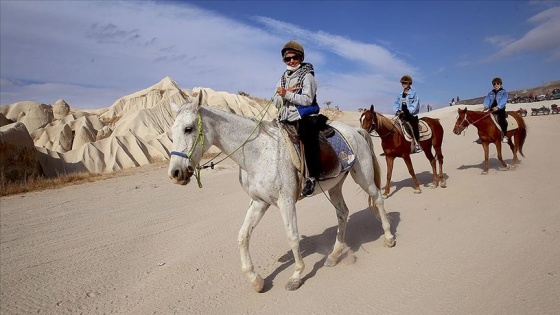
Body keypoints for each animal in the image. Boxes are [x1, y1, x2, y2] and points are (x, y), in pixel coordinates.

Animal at [166, 94, 394, 294]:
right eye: (171, 132)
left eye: (188, 129)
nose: (175, 173)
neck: (257, 153)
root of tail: (356, 130)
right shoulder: (259, 202)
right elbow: (243, 236)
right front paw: (256, 280)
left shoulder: (286, 202)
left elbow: (292, 237)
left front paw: (296, 276)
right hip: (335, 186)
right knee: (343, 213)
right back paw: (334, 255)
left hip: (363, 177)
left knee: (378, 199)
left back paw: (389, 238)